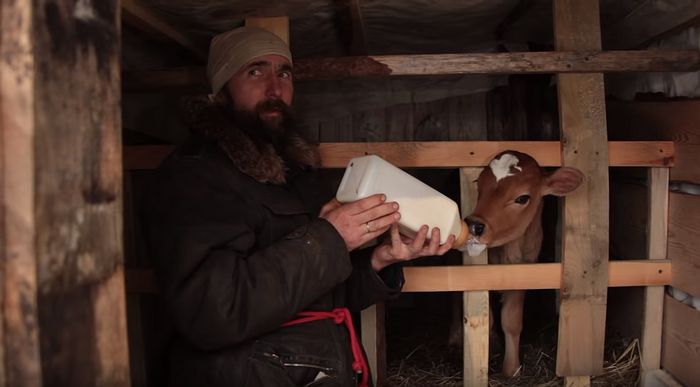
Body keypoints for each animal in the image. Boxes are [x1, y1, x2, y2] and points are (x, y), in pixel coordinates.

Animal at [462, 150, 584, 378]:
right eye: (479, 187)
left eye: (522, 198)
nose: (474, 225)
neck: (509, 253)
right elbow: (487, 319)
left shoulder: (524, 271)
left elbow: (511, 320)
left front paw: (511, 368)